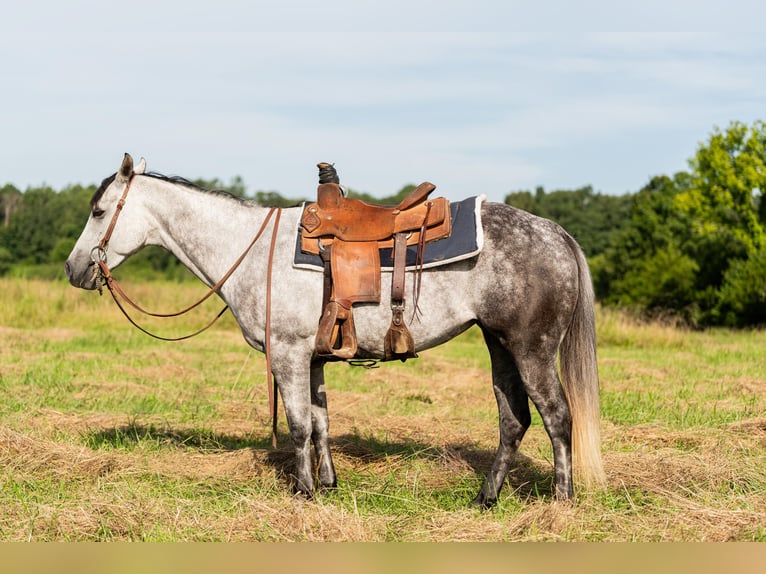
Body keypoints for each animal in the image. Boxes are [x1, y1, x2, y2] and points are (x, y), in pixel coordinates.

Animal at [65, 153, 606, 505]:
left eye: (97, 211)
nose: (73, 269)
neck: (249, 249)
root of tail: (555, 233)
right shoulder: (314, 359)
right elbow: (321, 421)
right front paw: (328, 484)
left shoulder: (287, 355)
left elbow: (299, 424)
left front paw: (303, 492)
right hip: (499, 345)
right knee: (513, 419)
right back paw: (486, 497)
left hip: (532, 349)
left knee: (558, 417)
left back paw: (561, 499)